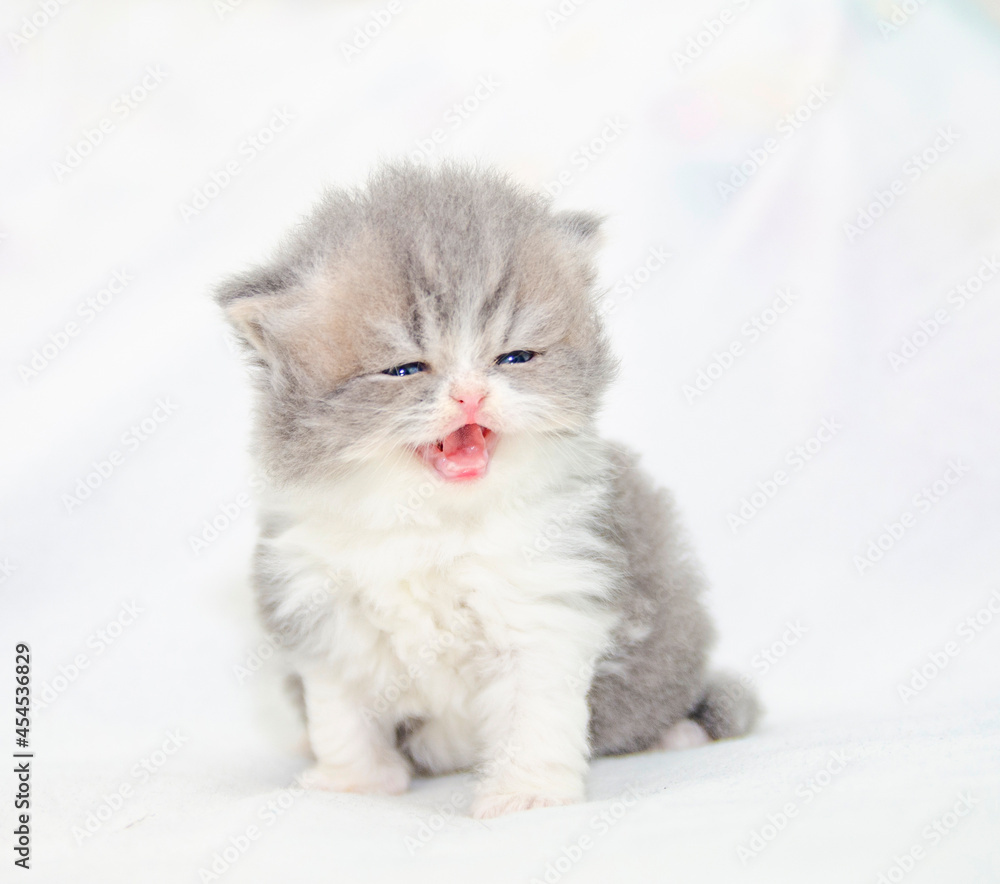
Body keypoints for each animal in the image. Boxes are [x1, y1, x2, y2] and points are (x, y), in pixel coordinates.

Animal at [217, 162, 756, 820]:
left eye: (514, 357)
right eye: (405, 369)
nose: (470, 394)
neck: (431, 524)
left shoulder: (547, 603)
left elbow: (535, 716)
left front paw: (526, 795)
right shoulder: (322, 605)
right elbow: (342, 713)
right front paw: (354, 783)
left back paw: (678, 732)